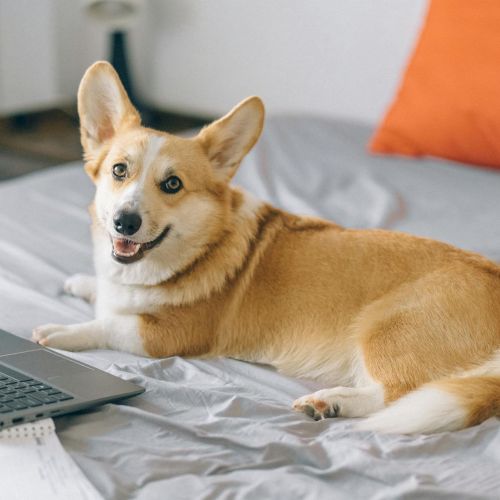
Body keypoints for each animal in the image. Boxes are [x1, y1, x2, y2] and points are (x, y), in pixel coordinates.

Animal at [32, 61, 500, 434]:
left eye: (172, 184)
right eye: (119, 171)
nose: (124, 222)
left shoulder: (167, 335)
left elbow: (109, 323)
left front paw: (62, 331)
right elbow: (101, 293)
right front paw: (81, 282)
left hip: (385, 330)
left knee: (399, 394)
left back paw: (331, 401)